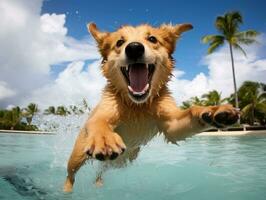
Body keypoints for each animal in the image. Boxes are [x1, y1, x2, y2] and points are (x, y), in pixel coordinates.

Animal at [62, 22, 239, 192]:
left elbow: (191, 111)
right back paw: (67, 190)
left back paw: (98, 182)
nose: (134, 48)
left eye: (152, 39)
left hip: (123, 160)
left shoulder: (171, 126)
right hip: (78, 156)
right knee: (71, 174)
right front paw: (104, 138)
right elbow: (98, 122)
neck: (137, 106)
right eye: (119, 42)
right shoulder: (105, 111)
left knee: (102, 169)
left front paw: (213, 111)